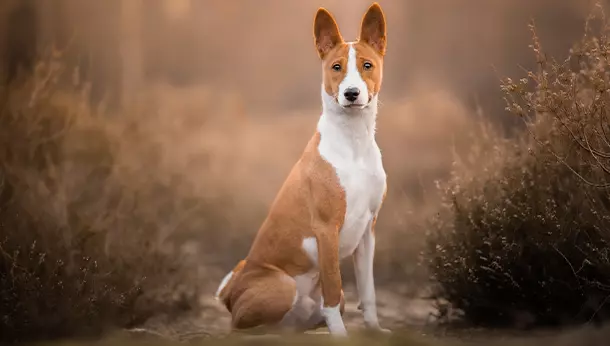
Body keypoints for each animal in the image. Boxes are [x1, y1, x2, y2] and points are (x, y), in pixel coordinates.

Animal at [215, 2, 384, 338]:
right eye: (336, 67)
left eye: (367, 65)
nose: (351, 93)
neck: (354, 143)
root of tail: (232, 292)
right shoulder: (326, 230)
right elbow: (332, 285)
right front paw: (341, 337)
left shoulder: (368, 231)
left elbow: (369, 290)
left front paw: (373, 330)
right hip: (282, 285)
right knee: (240, 325)